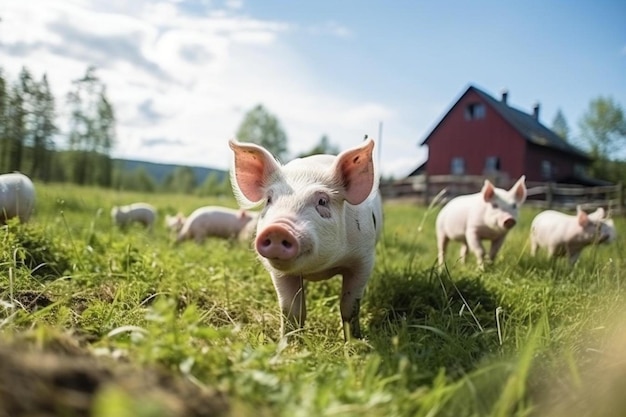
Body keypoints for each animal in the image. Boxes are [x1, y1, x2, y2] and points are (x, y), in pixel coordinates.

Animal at [228, 135, 380, 340]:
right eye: (269, 199)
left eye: (322, 201)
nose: (278, 229)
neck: (319, 269)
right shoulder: (278, 272)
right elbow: (291, 309)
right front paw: (288, 342)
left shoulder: (364, 259)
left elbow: (349, 306)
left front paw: (353, 341)